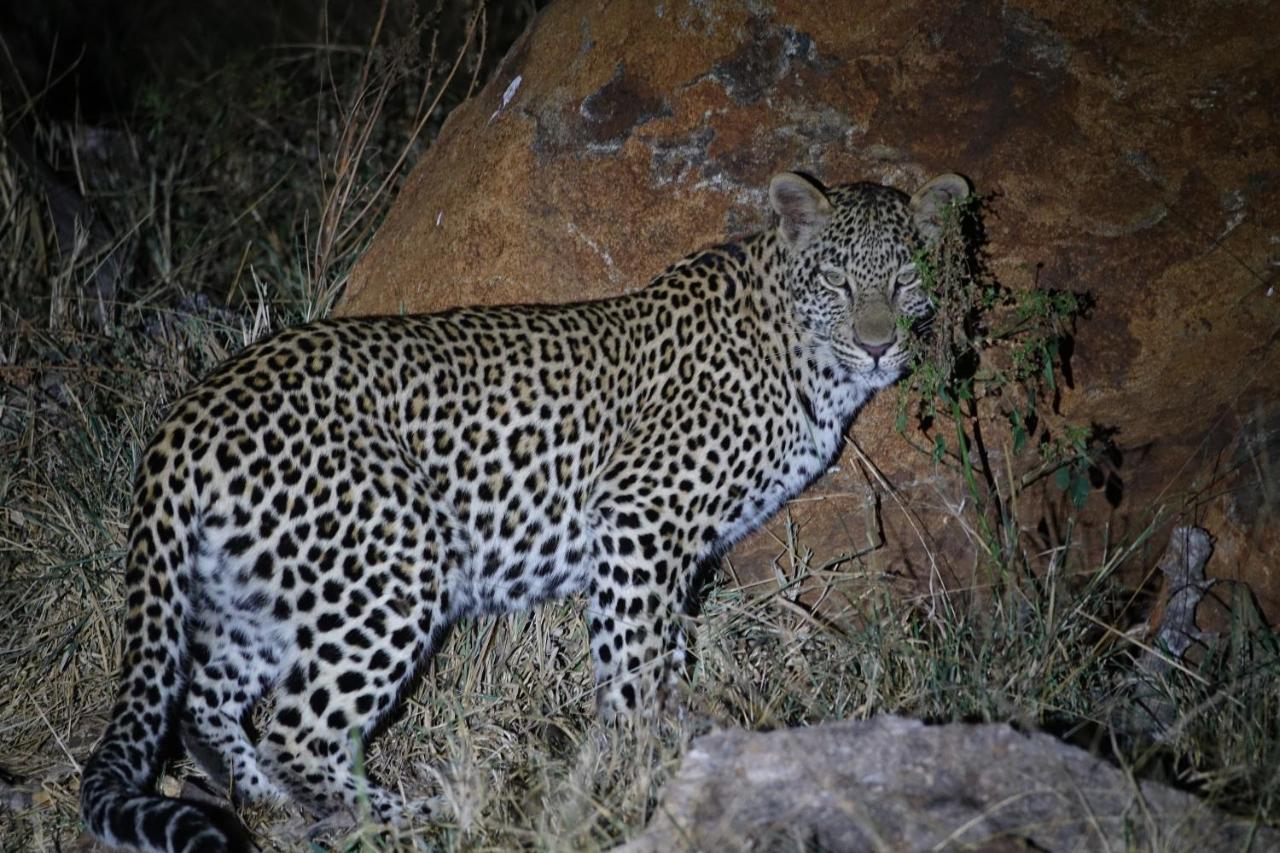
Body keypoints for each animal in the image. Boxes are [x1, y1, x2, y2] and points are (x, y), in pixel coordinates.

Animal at [82, 169, 967, 845]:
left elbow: (666, 650)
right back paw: (414, 816)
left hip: (265, 588)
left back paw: (261, 798)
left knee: (204, 694)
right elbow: (634, 662)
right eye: (840, 281)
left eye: (904, 279)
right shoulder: (641, 515)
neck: (803, 351)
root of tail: (192, 409)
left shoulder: (674, 546)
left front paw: (677, 742)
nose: (880, 344)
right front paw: (636, 770)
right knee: (302, 728)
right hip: (390, 565)